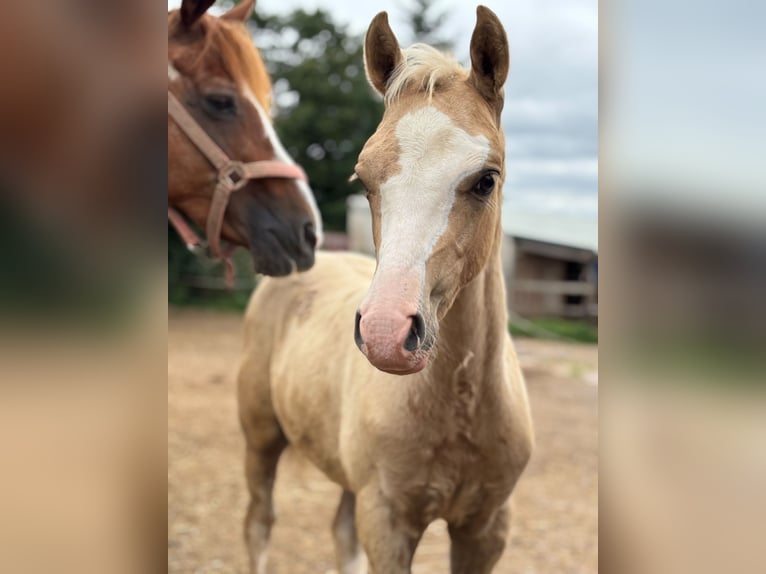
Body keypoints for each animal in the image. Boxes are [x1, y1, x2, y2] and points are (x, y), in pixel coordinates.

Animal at [238, 7, 533, 573]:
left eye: (486, 179)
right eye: (364, 179)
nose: (384, 333)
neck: (460, 408)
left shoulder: (487, 528)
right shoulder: (389, 520)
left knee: (339, 533)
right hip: (260, 436)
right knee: (258, 524)